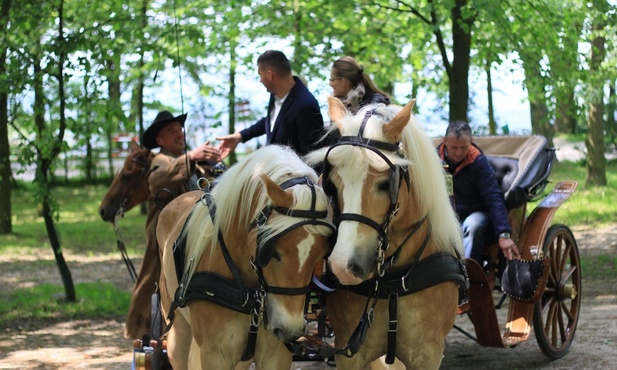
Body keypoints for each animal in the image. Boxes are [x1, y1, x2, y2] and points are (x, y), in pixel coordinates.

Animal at [156, 145, 334, 370]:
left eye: (321, 254)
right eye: (271, 251)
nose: (291, 329)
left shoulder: (276, 355)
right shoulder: (214, 355)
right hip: (178, 330)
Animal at [304, 98, 466, 370]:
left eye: (384, 184)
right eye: (332, 184)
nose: (343, 266)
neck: (393, 283)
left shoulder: (429, 353)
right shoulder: (348, 351)